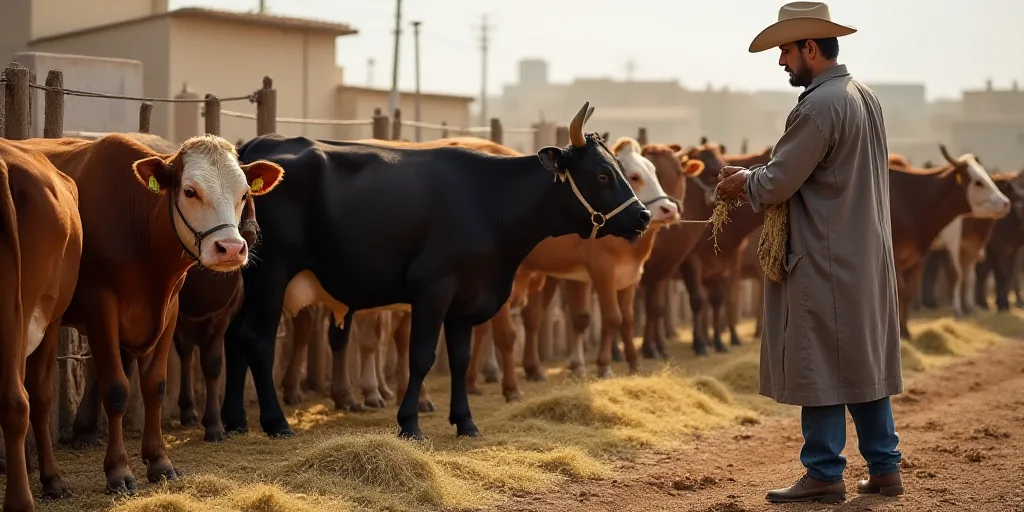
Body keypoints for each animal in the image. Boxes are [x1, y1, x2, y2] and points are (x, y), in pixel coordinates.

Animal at [13, 134, 284, 493]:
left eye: (244, 193)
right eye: (190, 191)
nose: (231, 248)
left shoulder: (169, 310)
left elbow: (155, 385)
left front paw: (159, 461)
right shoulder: (101, 305)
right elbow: (116, 389)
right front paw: (118, 471)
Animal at [223, 102, 651, 441]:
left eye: (620, 169)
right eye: (602, 174)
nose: (643, 216)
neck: (488, 201)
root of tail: (261, 144)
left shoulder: (467, 298)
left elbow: (459, 358)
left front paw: (465, 422)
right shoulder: (433, 287)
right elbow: (422, 355)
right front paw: (409, 424)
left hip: (250, 281)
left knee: (234, 336)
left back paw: (234, 421)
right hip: (272, 275)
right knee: (257, 339)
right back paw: (276, 422)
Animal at [515, 137, 688, 381]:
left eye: (653, 170)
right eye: (634, 176)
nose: (669, 209)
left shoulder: (630, 276)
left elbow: (627, 318)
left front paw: (634, 364)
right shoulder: (601, 271)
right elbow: (612, 317)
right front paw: (604, 366)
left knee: (532, 316)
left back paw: (533, 369)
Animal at [889, 146, 1009, 340]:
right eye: (978, 182)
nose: (1006, 203)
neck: (911, 200)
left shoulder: (917, 259)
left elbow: (908, 293)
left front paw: (906, 331)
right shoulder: (895, 256)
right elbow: (900, 290)